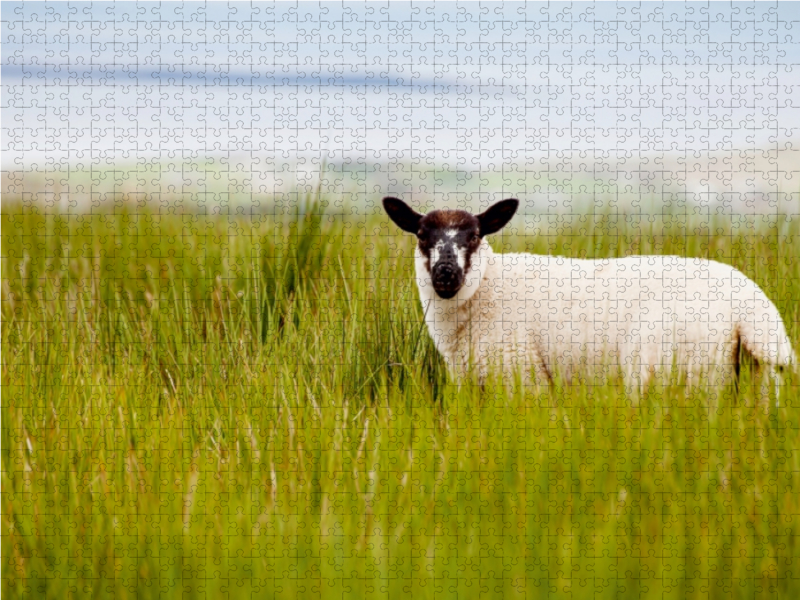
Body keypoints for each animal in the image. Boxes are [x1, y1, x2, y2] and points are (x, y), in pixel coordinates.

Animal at [382, 197, 792, 398]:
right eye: (422, 235)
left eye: (474, 236)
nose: (445, 274)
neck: (488, 287)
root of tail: (751, 306)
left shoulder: (522, 377)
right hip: (756, 377)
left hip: (681, 372)